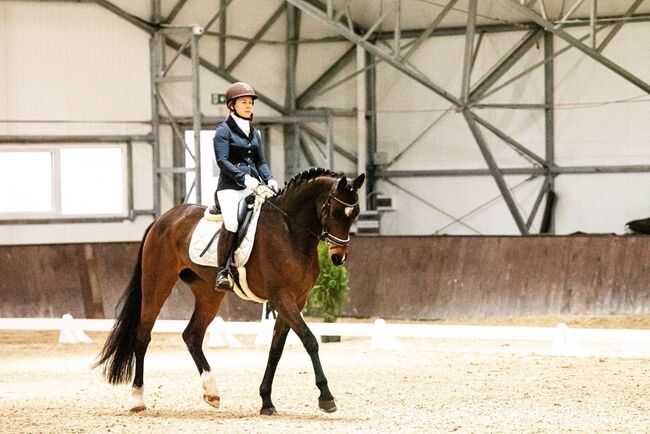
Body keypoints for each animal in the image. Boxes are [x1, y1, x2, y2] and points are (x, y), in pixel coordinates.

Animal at [93, 168, 364, 416]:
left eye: (356, 213)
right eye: (335, 211)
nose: (338, 257)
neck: (289, 230)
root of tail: (163, 219)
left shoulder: (297, 300)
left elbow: (276, 349)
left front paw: (266, 401)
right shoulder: (282, 298)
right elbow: (310, 340)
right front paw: (326, 397)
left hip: (209, 293)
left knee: (192, 335)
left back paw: (212, 393)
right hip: (157, 283)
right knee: (143, 335)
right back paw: (138, 400)